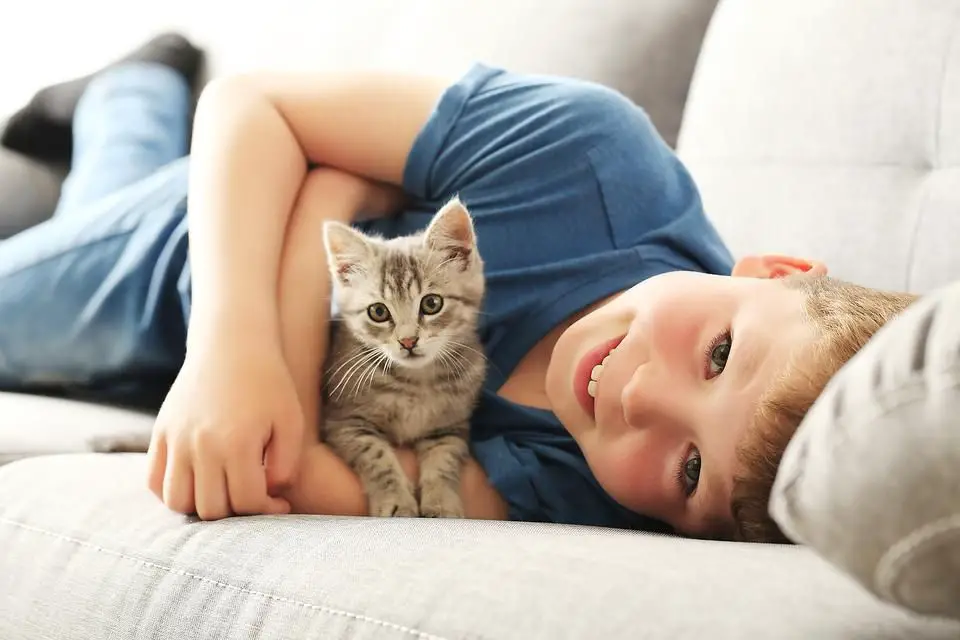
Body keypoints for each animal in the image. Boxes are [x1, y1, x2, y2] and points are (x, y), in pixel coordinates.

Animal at [322, 198, 488, 516]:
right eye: (378, 311)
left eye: (432, 303)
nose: (408, 341)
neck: (416, 381)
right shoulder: (343, 421)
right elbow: (376, 457)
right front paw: (396, 500)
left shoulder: (449, 426)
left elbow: (444, 459)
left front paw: (441, 502)